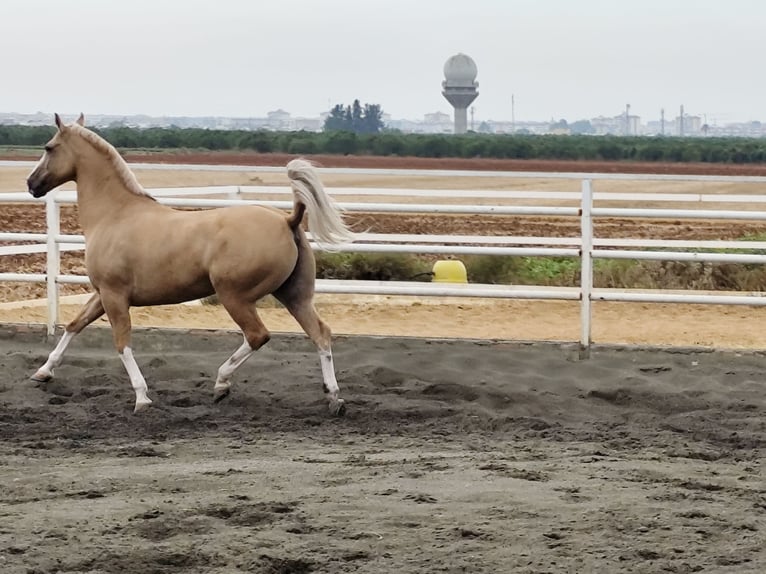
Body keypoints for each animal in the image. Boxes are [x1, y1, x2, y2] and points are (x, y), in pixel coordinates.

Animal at [27, 113, 354, 416]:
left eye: (49, 147)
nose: (32, 184)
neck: (115, 214)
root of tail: (289, 219)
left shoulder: (114, 295)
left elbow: (122, 342)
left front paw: (142, 398)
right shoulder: (101, 294)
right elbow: (74, 325)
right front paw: (42, 373)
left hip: (235, 296)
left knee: (258, 335)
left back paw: (221, 384)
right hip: (294, 295)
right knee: (321, 334)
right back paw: (334, 398)